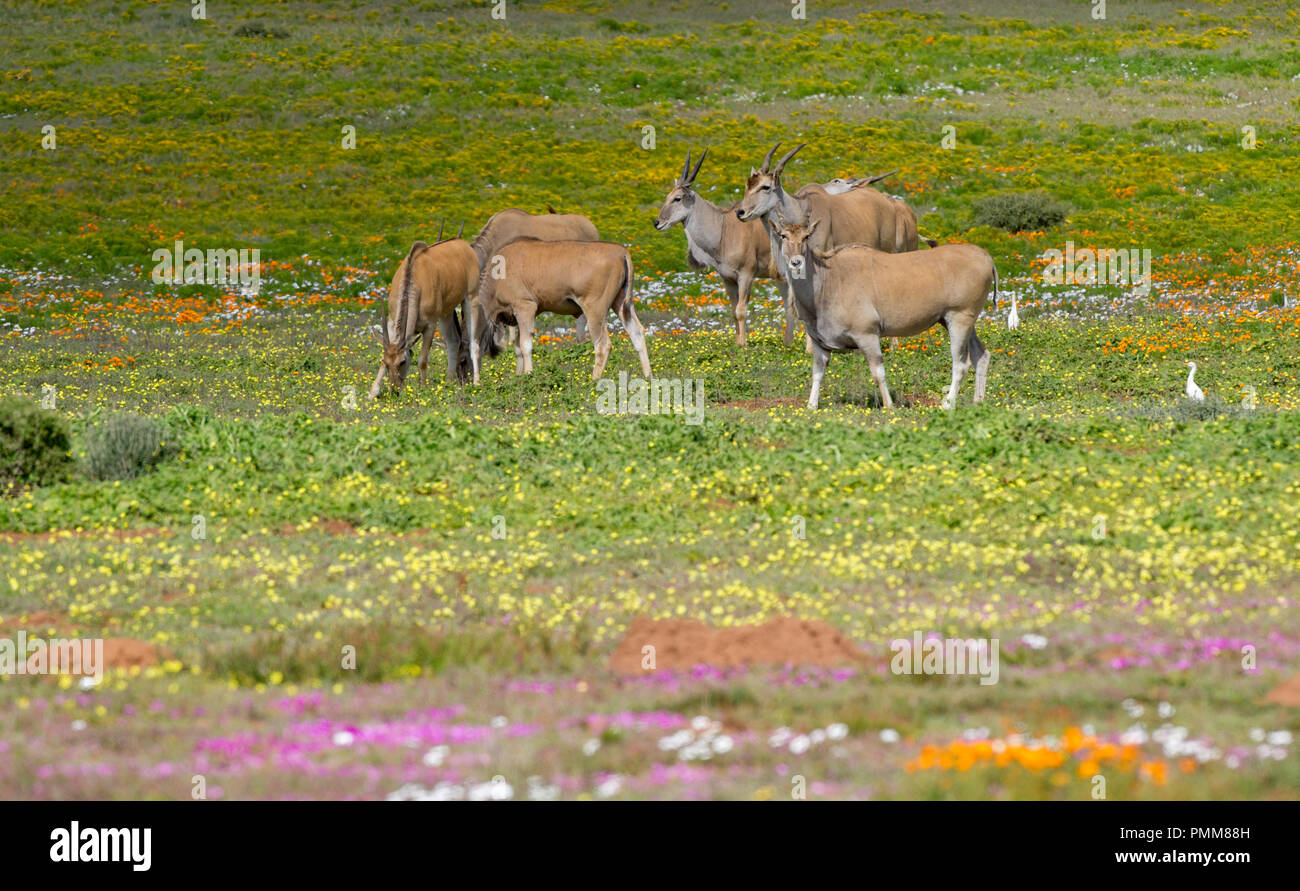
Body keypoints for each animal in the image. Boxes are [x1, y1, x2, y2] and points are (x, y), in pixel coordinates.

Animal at [366, 232, 478, 395]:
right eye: (385, 362)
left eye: (402, 361)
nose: (394, 392)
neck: (414, 281)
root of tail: (462, 243)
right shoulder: (392, 323)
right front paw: (372, 393)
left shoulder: (430, 326)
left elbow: (423, 360)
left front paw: (423, 389)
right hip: (446, 313)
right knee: (453, 340)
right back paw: (449, 382)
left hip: (470, 299)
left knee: (473, 341)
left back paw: (476, 382)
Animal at [467, 239, 650, 382]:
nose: (473, 382)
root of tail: (622, 252)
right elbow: (518, 346)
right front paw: (519, 376)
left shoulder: (525, 307)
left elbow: (525, 345)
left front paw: (529, 375)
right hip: (622, 305)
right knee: (637, 334)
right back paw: (648, 377)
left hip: (595, 310)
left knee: (603, 345)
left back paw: (593, 380)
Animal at [650, 149, 790, 348]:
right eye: (667, 197)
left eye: (677, 198)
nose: (657, 223)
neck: (724, 229)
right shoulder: (728, 279)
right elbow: (733, 311)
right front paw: (738, 344)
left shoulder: (746, 275)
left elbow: (741, 310)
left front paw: (744, 346)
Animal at [769, 215, 993, 411]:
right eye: (783, 236)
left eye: (806, 236)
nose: (796, 262)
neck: (829, 279)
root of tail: (986, 257)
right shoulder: (819, 343)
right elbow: (817, 373)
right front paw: (811, 405)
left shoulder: (867, 335)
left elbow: (878, 372)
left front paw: (889, 405)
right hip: (955, 321)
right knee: (981, 355)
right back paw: (978, 401)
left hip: (959, 318)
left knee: (961, 363)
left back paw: (948, 403)